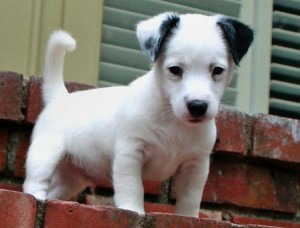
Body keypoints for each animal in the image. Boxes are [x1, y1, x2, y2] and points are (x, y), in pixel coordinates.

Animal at [23, 12, 253, 217]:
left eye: (217, 70)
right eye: (175, 70)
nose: (197, 106)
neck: (171, 118)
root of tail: (60, 97)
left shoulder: (195, 165)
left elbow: (190, 197)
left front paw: (188, 217)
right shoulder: (130, 153)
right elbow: (132, 187)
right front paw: (133, 210)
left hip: (71, 178)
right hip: (44, 155)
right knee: (34, 183)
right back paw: (37, 197)